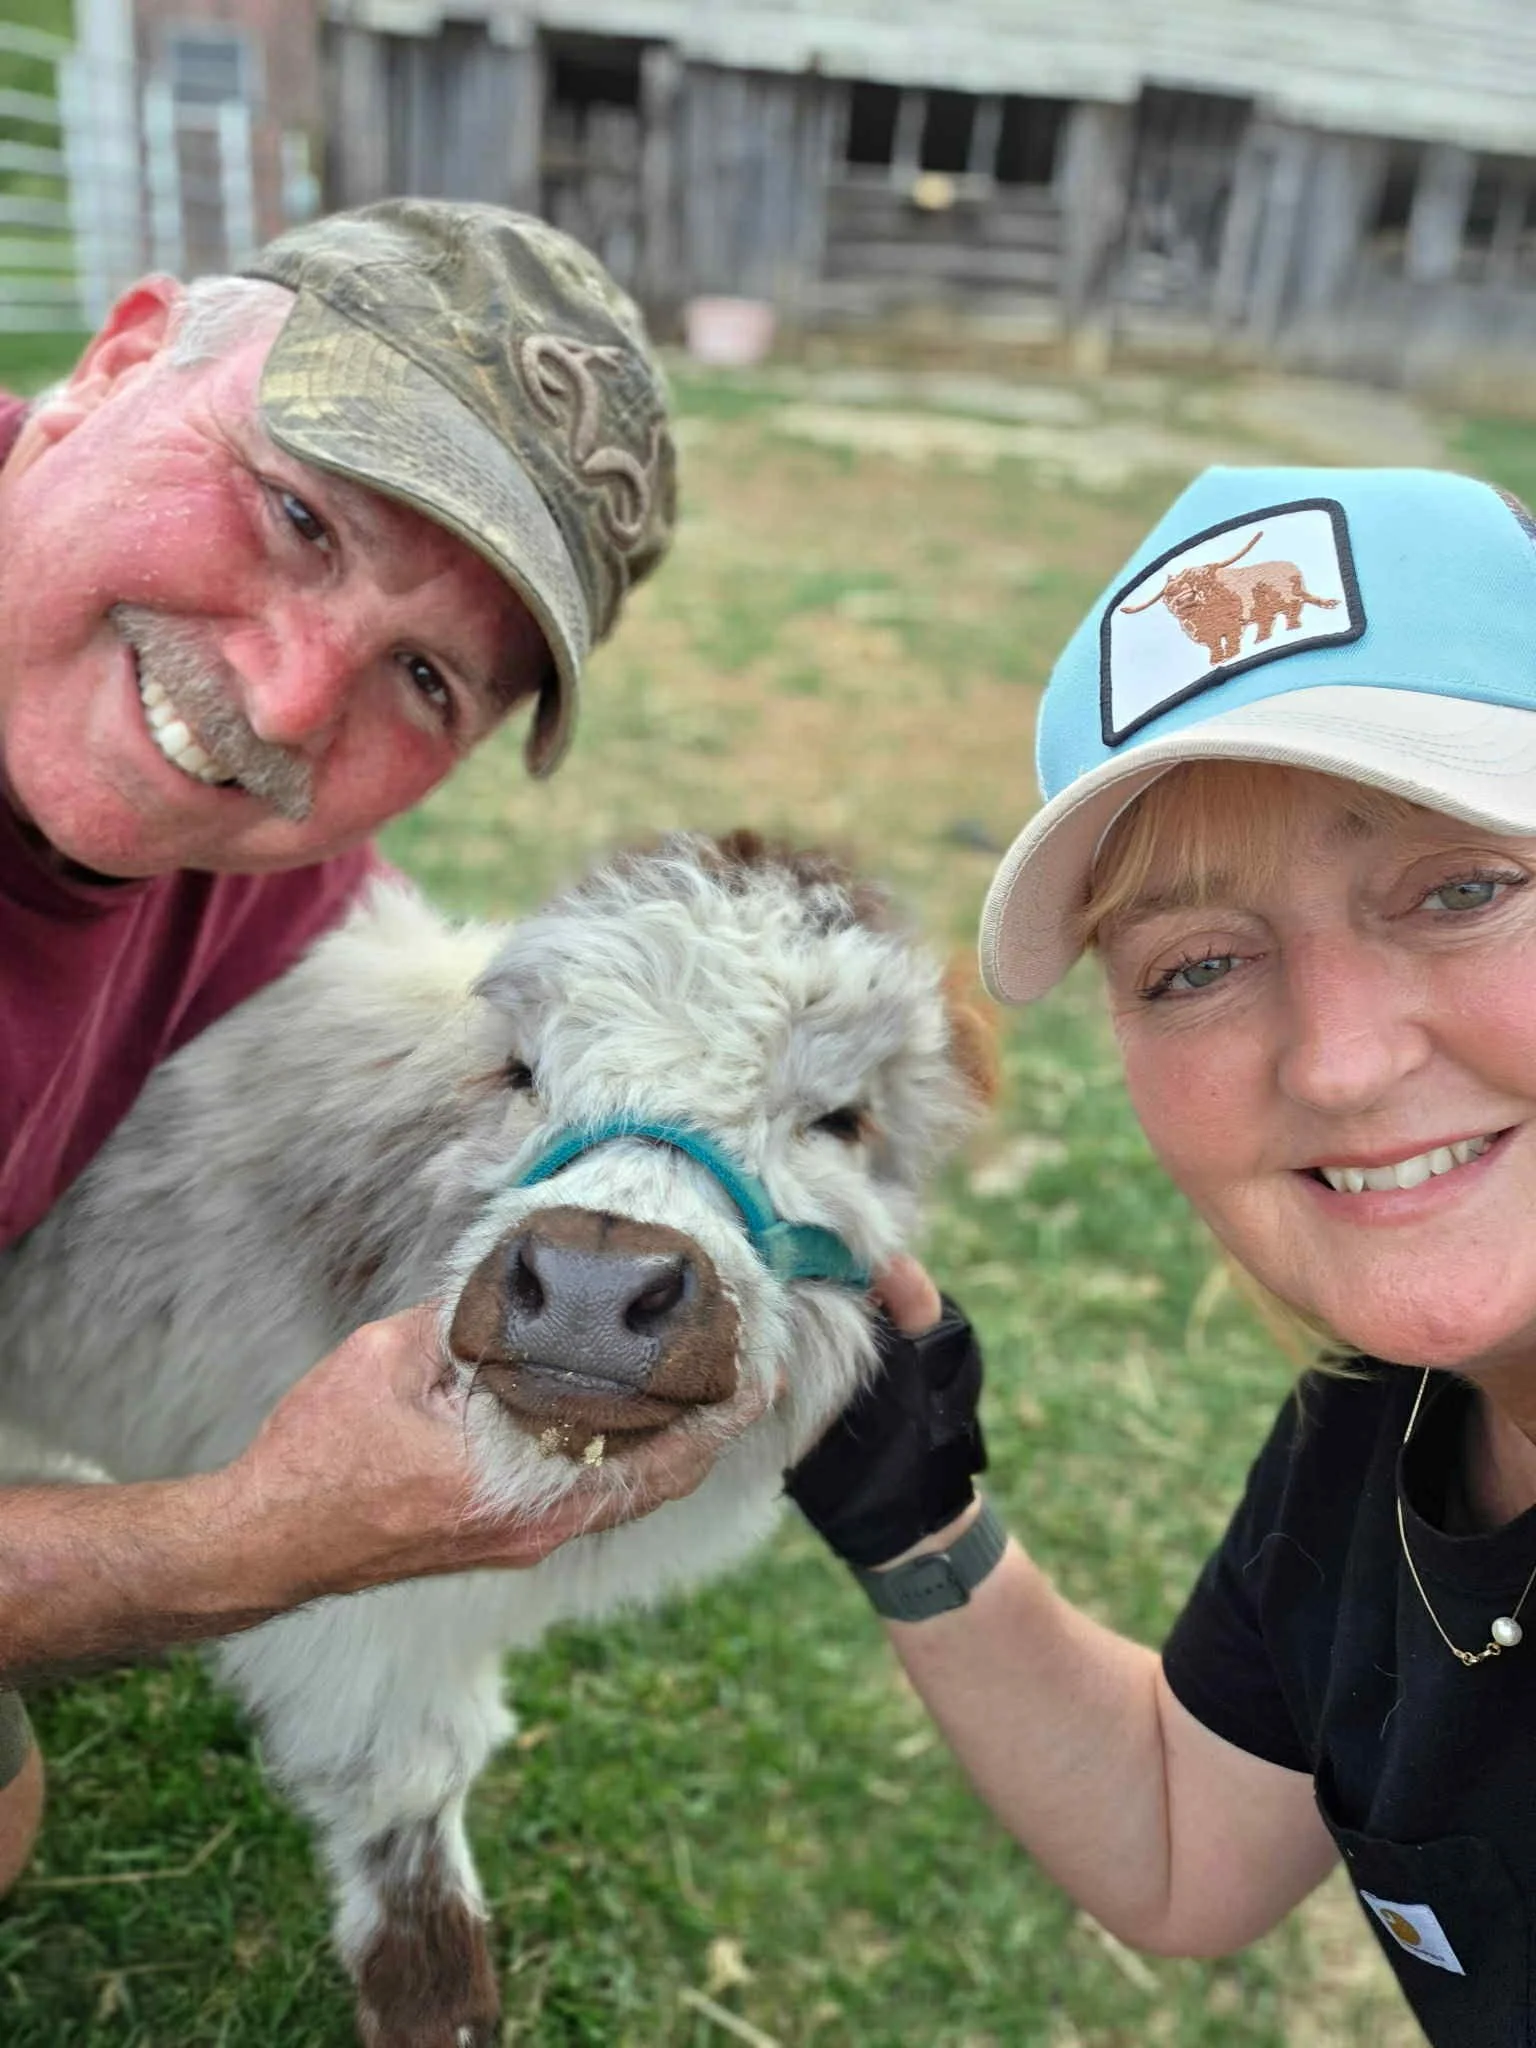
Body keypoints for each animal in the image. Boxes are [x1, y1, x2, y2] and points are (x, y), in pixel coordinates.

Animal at [1120, 528, 1339, 665]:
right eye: (1167, 596)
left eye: (1203, 582)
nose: (1185, 600)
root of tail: (1292, 567)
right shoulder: (1209, 636)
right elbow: (1215, 647)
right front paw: (1217, 661)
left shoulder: (1233, 626)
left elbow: (1232, 641)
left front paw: (1230, 656)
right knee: (1269, 620)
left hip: (1285, 597)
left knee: (1293, 607)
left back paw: (1292, 629)